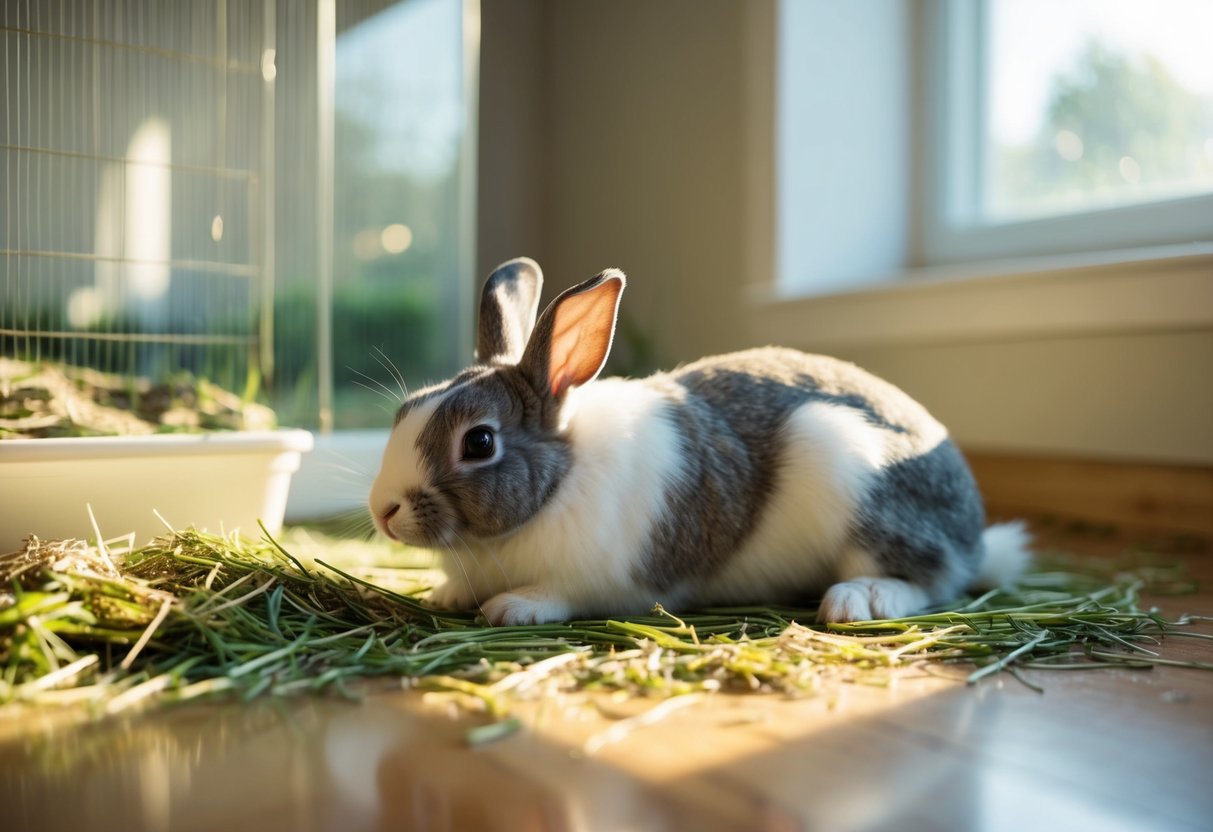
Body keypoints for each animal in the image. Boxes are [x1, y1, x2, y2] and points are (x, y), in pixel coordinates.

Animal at [369, 257, 1030, 626]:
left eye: (479, 442)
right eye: (406, 409)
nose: (383, 511)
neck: (562, 476)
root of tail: (973, 536)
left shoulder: (609, 579)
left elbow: (565, 594)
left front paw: (515, 607)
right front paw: (448, 595)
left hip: (853, 469)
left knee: (930, 580)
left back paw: (857, 599)